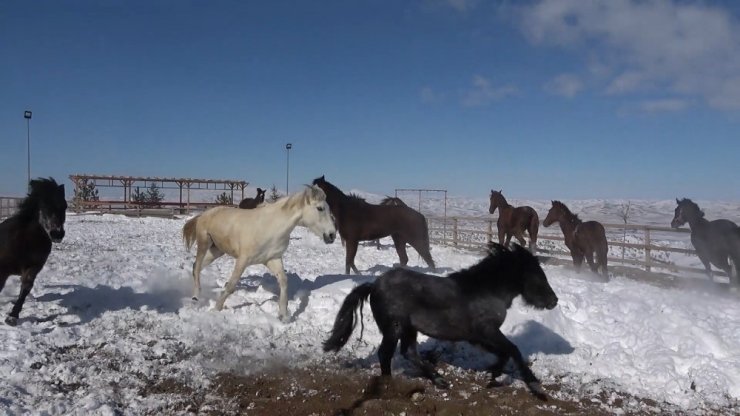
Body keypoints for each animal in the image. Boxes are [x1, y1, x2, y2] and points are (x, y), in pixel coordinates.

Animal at [0, 177, 67, 326]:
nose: (57, 234)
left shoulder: (34, 267)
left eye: (65, 206)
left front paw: (12, 317)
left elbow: (26, 286)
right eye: (44, 206)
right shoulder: (2, 270)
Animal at [184, 186, 336, 322]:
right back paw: (195, 297)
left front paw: (283, 316)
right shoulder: (243, 260)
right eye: (320, 208)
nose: (332, 235)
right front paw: (216, 309)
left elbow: (283, 281)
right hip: (204, 244)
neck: (270, 226)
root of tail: (204, 214)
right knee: (197, 267)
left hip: (217, 250)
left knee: (195, 266)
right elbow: (231, 285)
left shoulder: (273, 259)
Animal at [320, 244, 556, 400]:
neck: (486, 291)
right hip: (395, 328)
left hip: (409, 329)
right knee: (386, 353)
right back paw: (390, 385)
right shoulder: (487, 331)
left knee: (409, 353)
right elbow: (513, 349)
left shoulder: (478, 336)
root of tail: (374, 285)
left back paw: (440, 381)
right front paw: (536, 388)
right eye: (537, 275)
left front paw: (492, 376)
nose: (553, 301)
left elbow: (504, 353)